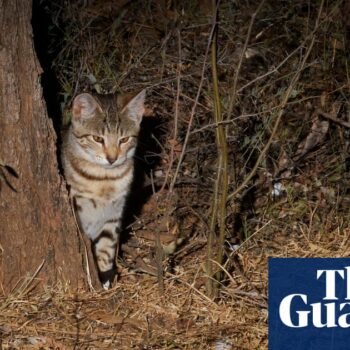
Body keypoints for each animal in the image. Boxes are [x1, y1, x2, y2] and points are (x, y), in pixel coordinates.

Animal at [61, 90, 145, 290]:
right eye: (98, 139)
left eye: (124, 139)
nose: (112, 159)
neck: (104, 180)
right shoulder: (78, 209)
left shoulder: (112, 215)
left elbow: (107, 249)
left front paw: (106, 278)